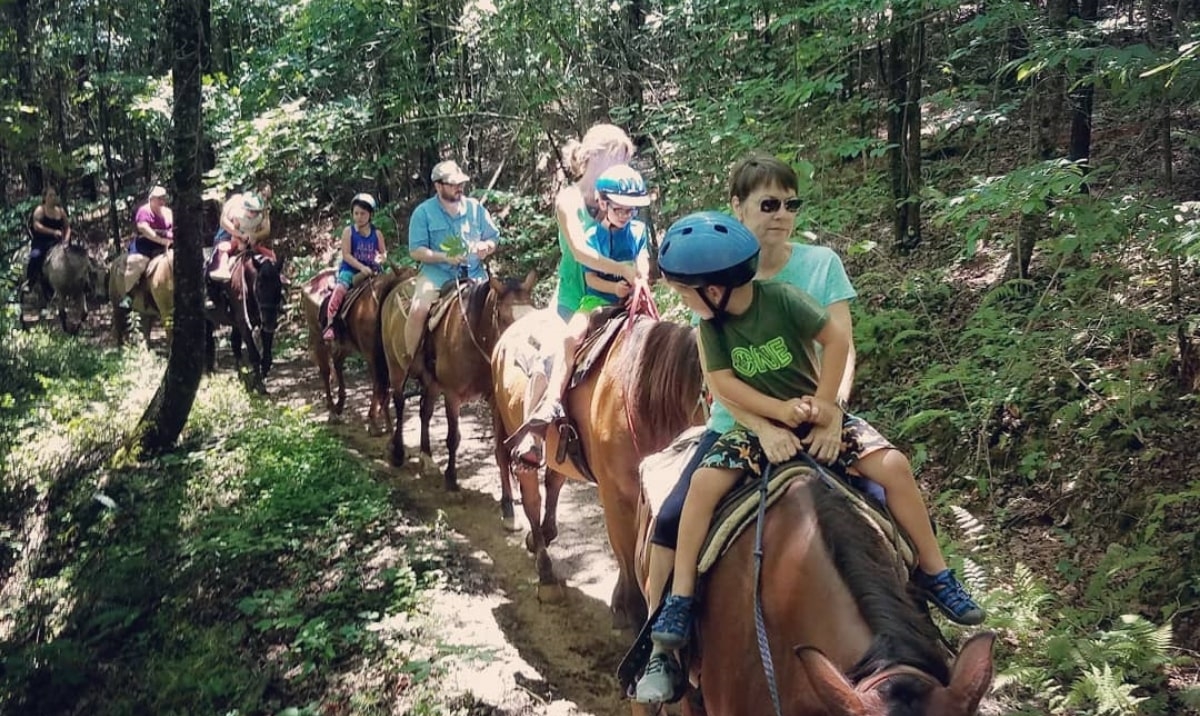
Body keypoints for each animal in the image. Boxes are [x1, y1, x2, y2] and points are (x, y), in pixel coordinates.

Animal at [302, 268, 410, 431]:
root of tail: (309, 283)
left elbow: (385, 384)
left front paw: (385, 423)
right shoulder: (372, 355)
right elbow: (379, 385)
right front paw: (375, 423)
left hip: (346, 344)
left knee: (337, 363)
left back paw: (340, 405)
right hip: (318, 337)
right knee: (326, 371)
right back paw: (332, 411)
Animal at [381, 271, 537, 489]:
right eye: (504, 318)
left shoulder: (494, 398)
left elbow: (501, 447)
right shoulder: (452, 395)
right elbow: (453, 437)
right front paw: (451, 477)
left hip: (431, 383)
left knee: (425, 412)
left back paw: (427, 458)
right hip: (396, 367)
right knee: (400, 403)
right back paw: (398, 452)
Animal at [492, 309, 705, 628]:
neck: (640, 394)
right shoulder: (615, 493)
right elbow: (625, 553)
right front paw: (630, 609)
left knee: (554, 483)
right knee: (531, 498)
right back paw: (546, 575)